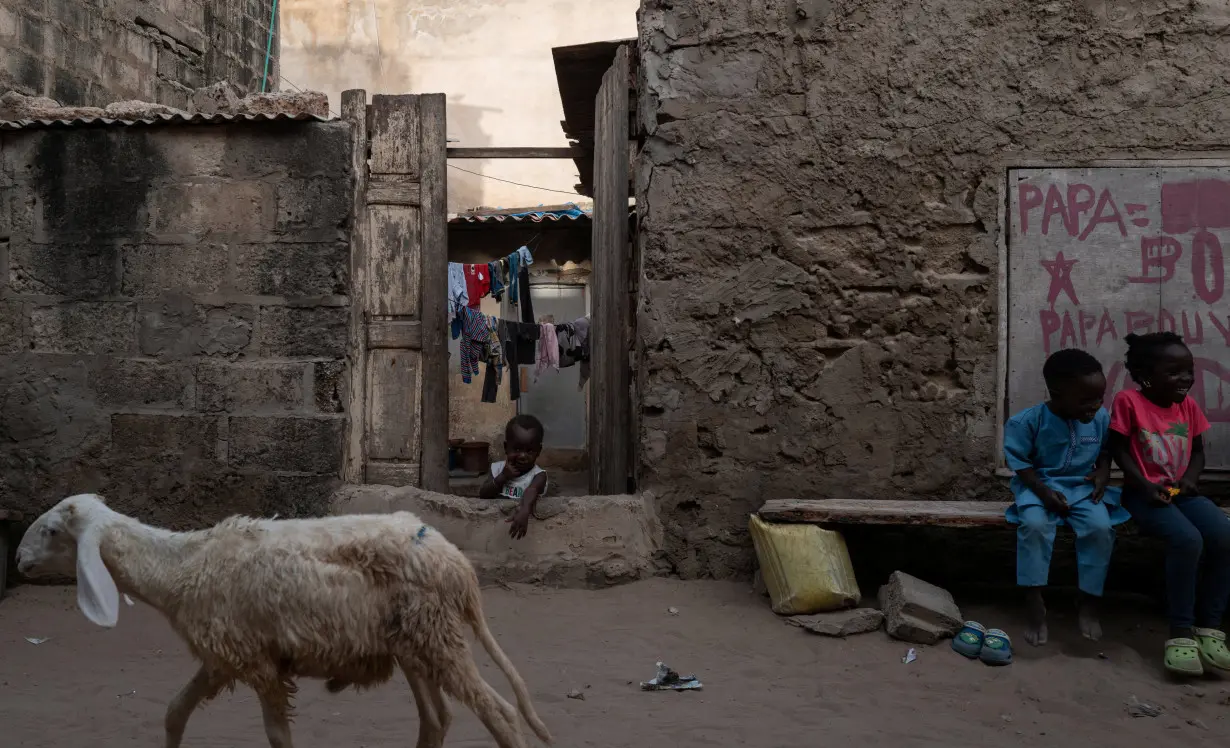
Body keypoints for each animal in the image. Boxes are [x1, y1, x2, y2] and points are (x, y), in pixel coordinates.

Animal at [14, 492, 551, 748]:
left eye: (53, 530)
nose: (17, 560)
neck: (182, 567)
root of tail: (459, 567)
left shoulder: (259, 664)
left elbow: (277, 735)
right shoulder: (223, 658)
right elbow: (173, 712)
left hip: (436, 635)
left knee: (500, 713)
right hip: (414, 643)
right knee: (436, 719)